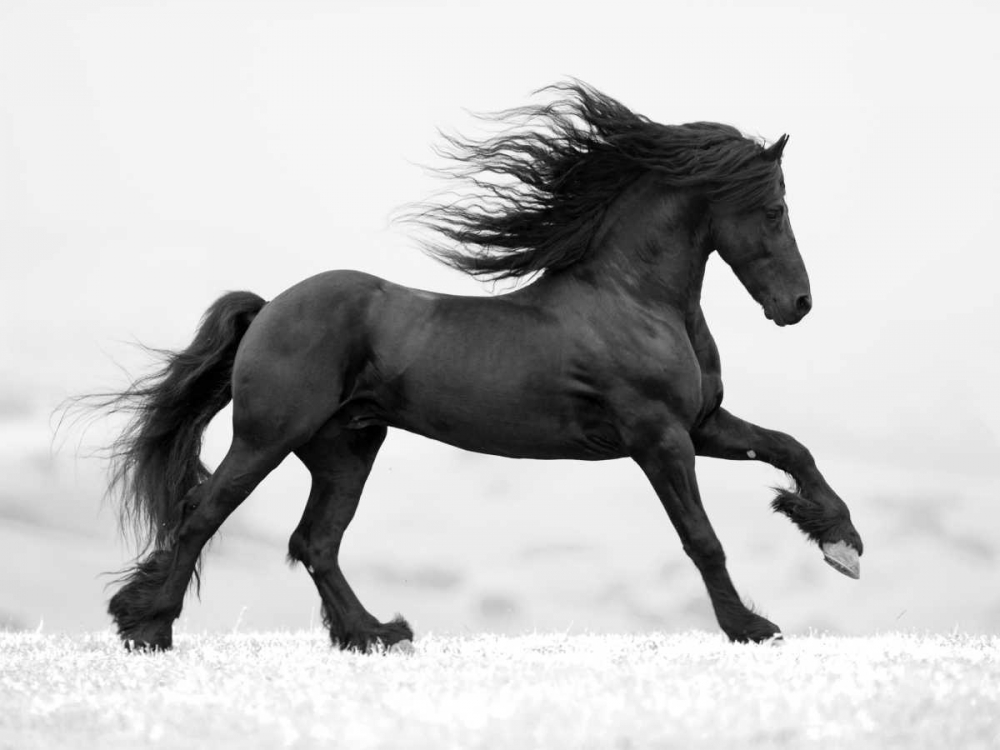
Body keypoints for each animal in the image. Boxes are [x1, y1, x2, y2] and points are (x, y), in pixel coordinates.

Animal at [97, 82, 863, 652]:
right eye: (775, 209)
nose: (798, 304)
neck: (635, 299)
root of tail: (268, 309)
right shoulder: (660, 438)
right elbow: (702, 539)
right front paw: (752, 626)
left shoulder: (701, 423)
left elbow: (791, 448)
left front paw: (840, 543)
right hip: (269, 436)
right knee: (204, 514)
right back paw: (148, 628)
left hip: (346, 446)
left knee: (314, 541)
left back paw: (375, 634)